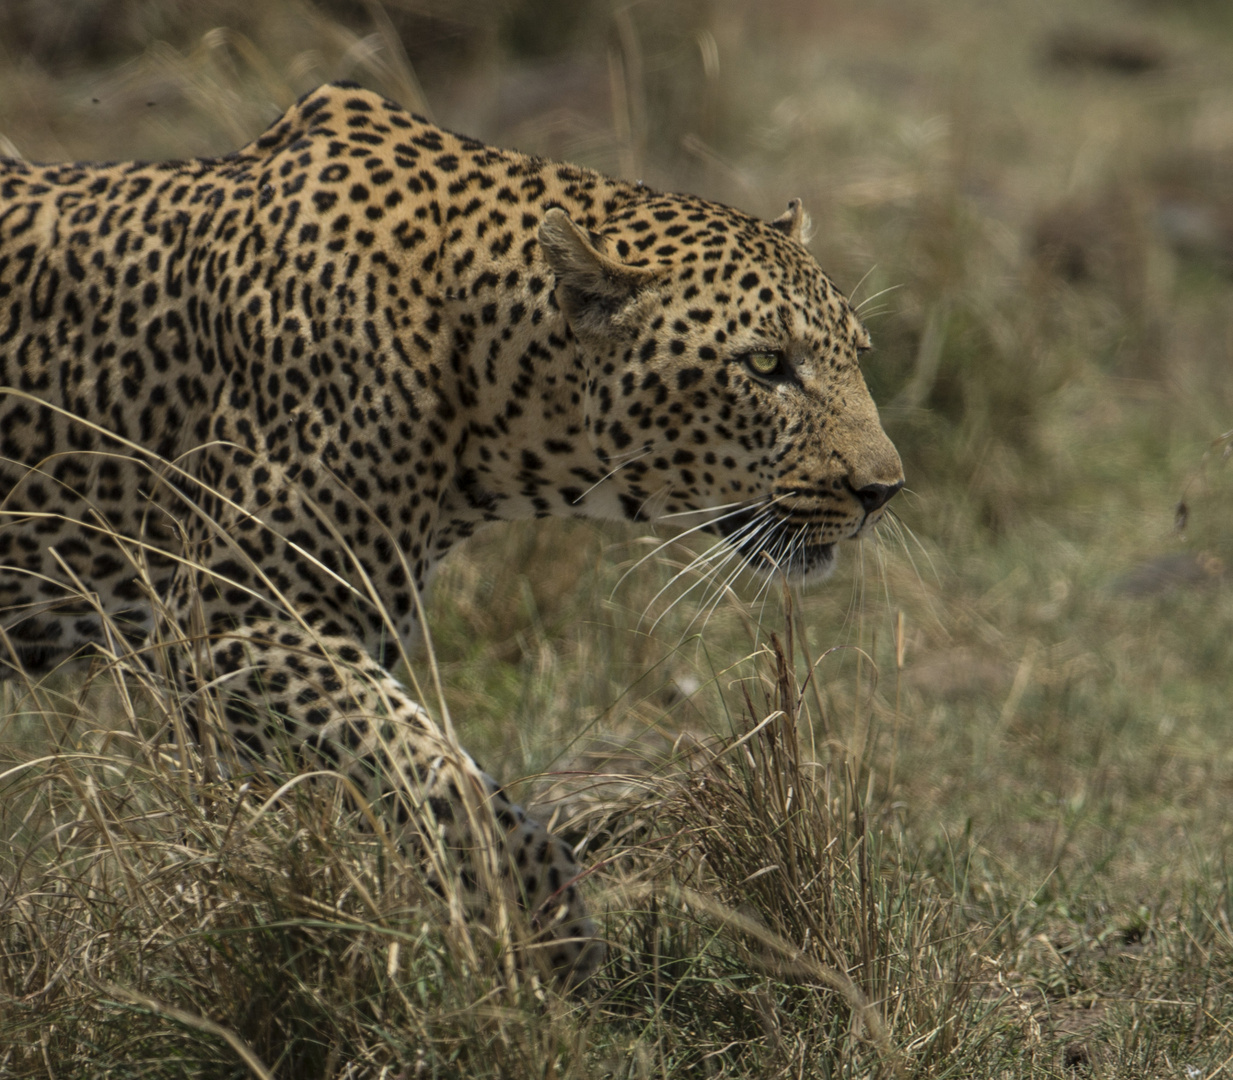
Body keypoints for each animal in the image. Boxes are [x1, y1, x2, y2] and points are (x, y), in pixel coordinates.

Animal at [0, 81, 907, 976]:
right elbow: (439, 778)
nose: (883, 490)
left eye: (858, 355)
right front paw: (547, 939)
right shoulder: (231, 624)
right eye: (764, 365)